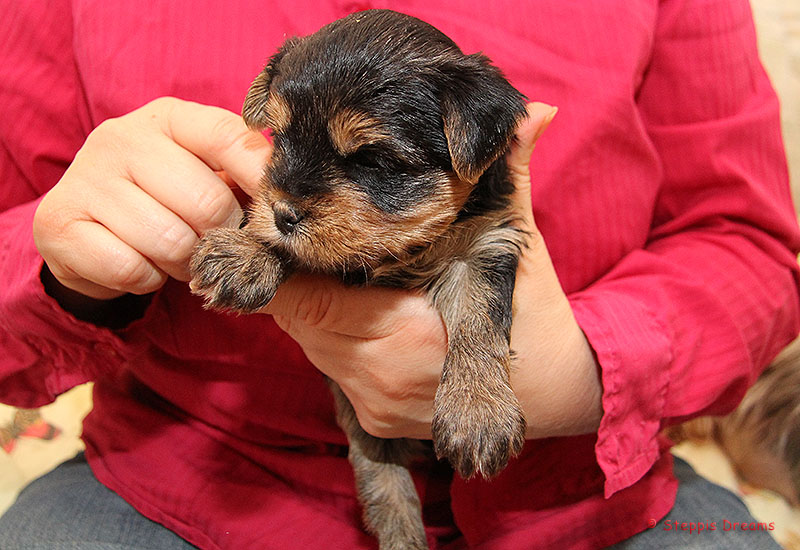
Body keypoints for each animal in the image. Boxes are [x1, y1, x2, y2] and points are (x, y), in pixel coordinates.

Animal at [190, 9, 529, 549]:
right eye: (280, 139)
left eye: (372, 159)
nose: (284, 213)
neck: (403, 253)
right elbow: (298, 244)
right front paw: (248, 252)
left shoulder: (486, 242)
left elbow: (480, 321)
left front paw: (478, 411)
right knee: (385, 486)